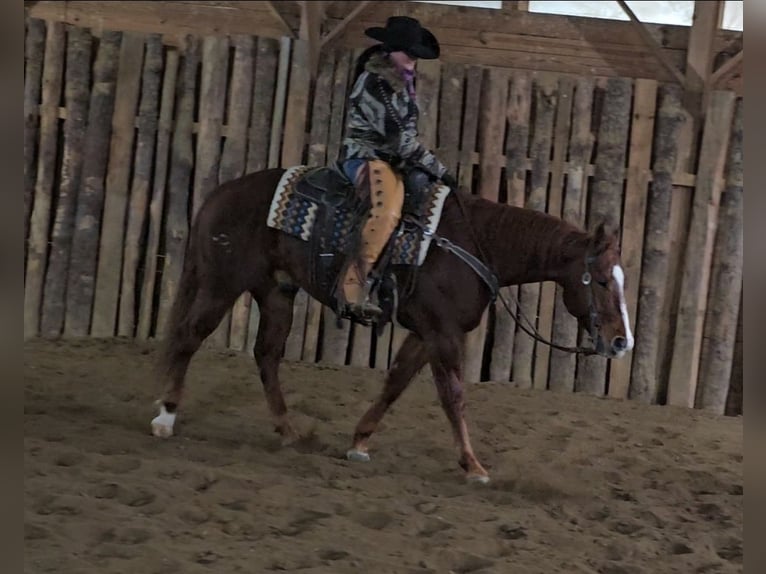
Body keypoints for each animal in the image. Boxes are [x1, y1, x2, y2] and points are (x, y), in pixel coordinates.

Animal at [152, 165, 636, 486]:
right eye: (601, 280)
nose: (621, 342)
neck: (475, 244)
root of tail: (220, 192)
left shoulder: (426, 332)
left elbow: (395, 383)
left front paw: (359, 442)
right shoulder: (443, 333)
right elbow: (454, 396)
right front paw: (474, 466)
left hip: (276, 293)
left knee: (266, 354)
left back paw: (289, 432)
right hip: (222, 283)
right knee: (189, 336)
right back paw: (166, 416)